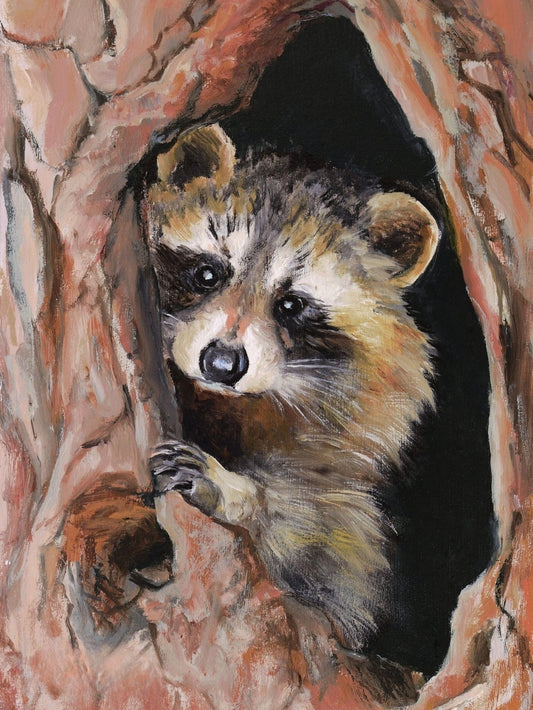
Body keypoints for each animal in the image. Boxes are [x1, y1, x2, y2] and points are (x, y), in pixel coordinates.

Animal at [143, 125, 439, 648]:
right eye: (207, 273)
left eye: (291, 304)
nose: (222, 364)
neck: (227, 406)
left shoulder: (340, 476)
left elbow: (314, 532)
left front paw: (235, 491)